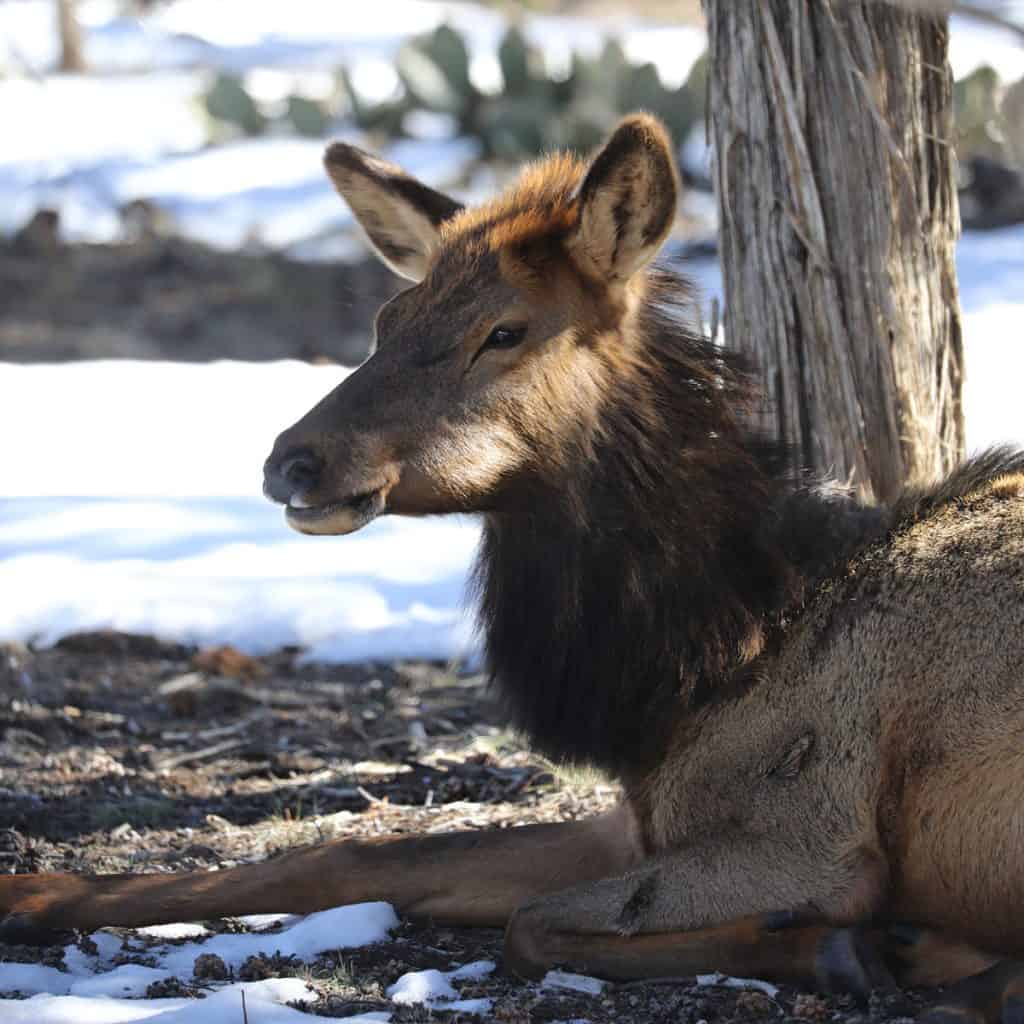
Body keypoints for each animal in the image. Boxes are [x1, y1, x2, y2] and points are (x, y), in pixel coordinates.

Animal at [3, 113, 1024, 1023]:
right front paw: (35, 891)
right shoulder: (637, 818)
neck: (702, 655)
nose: (293, 460)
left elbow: (531, 925)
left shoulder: (807, 835)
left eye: (505, 331)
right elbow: (344, 858)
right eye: (386, 319)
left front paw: (847, 948)